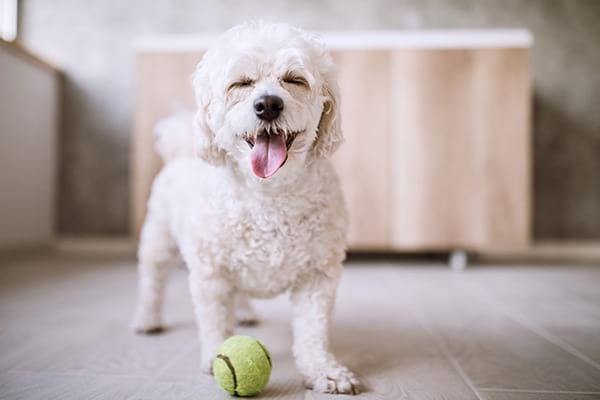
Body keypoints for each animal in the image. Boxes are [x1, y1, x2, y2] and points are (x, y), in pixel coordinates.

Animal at [131, 21, 358, 394]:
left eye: (294, 79)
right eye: (241, 83)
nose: (268, 104)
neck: (268, 196)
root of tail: (180, 149)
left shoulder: (317, 278)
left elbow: (313, 333)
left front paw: (325, 371)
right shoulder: (210, 273)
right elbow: (214, 322)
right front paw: (215, 356)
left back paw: (246, 311)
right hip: (158, 240)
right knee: (152, 281)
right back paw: (147, 319)